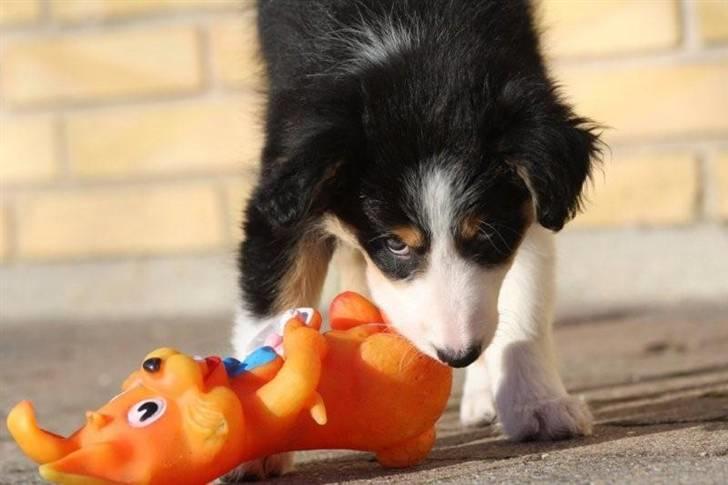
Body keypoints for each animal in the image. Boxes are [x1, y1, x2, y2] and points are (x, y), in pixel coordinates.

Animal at [230, 0, 600, 476]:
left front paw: (539, 407)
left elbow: (523, 306)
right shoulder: (283, 189)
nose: (457, 355)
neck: (410, 46)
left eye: (484, 233)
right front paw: (258, 440)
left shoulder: (526, 205)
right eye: (396, 244)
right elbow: (269, 307)